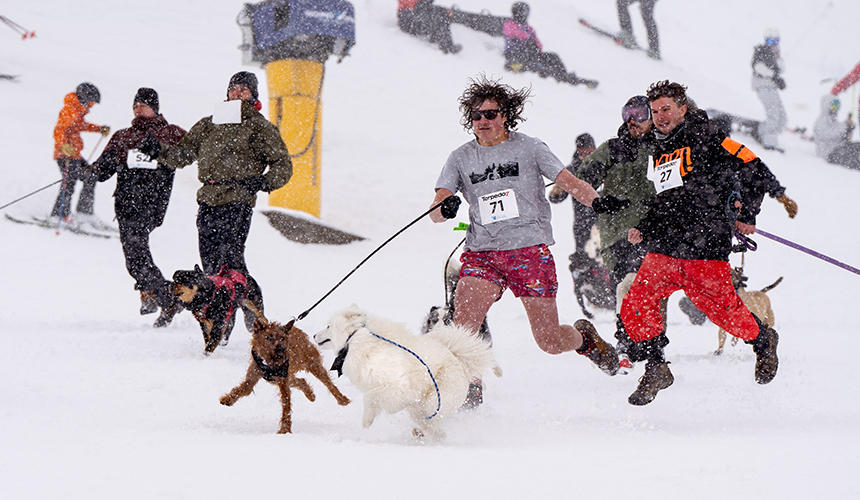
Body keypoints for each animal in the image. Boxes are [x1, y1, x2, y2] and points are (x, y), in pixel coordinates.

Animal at [220, 316, 352, 434]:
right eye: (269, 337)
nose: (281, 350)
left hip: (313, 364)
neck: (269, 363)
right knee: (301, 380)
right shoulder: (254, 376)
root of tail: (296, 329)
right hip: (286, 377)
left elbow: (286, 406)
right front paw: (227, 399)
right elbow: (242, 389)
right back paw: (310, 394)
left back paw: (342, 399)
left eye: (282, 338)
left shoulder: (283, 383)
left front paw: (285, 429)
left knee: (329, 384)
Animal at [316, 302, 504, 440]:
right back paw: (429, 434)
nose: (314, 335)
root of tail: (457, 357)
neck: (353, 338)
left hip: (432, 400)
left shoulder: (398, 385)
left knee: (433, 419)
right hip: (419, 406)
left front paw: (366, 422)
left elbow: (370, 397)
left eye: (328, 325)